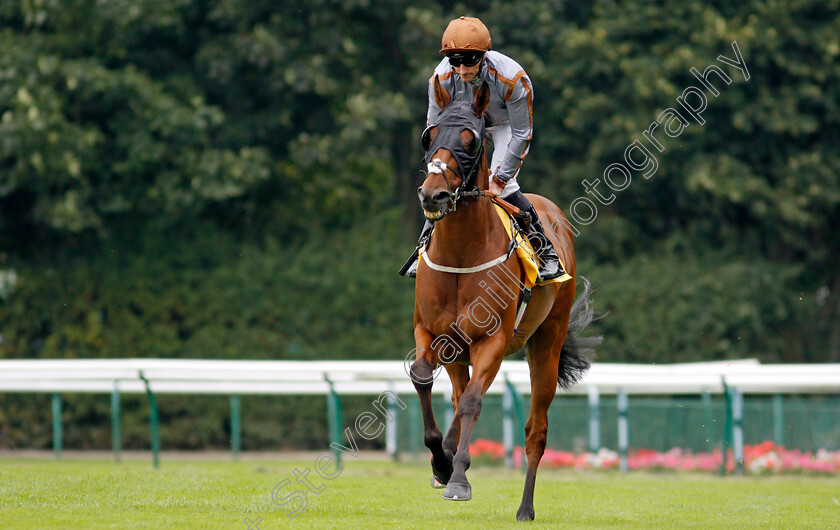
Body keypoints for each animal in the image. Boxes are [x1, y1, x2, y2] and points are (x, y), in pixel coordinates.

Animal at [408, 78, 600, 520]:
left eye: (471, 141)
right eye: (429, 136)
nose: (433, 195)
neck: (461, 253)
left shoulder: (491, 340)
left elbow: (473, 403)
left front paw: (459, 479)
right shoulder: (430, 332)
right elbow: (423, 377)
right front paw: (440, 462)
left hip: (546, 342)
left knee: (535, 431)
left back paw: (525, 507)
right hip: (457, 351)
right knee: (457, 394)